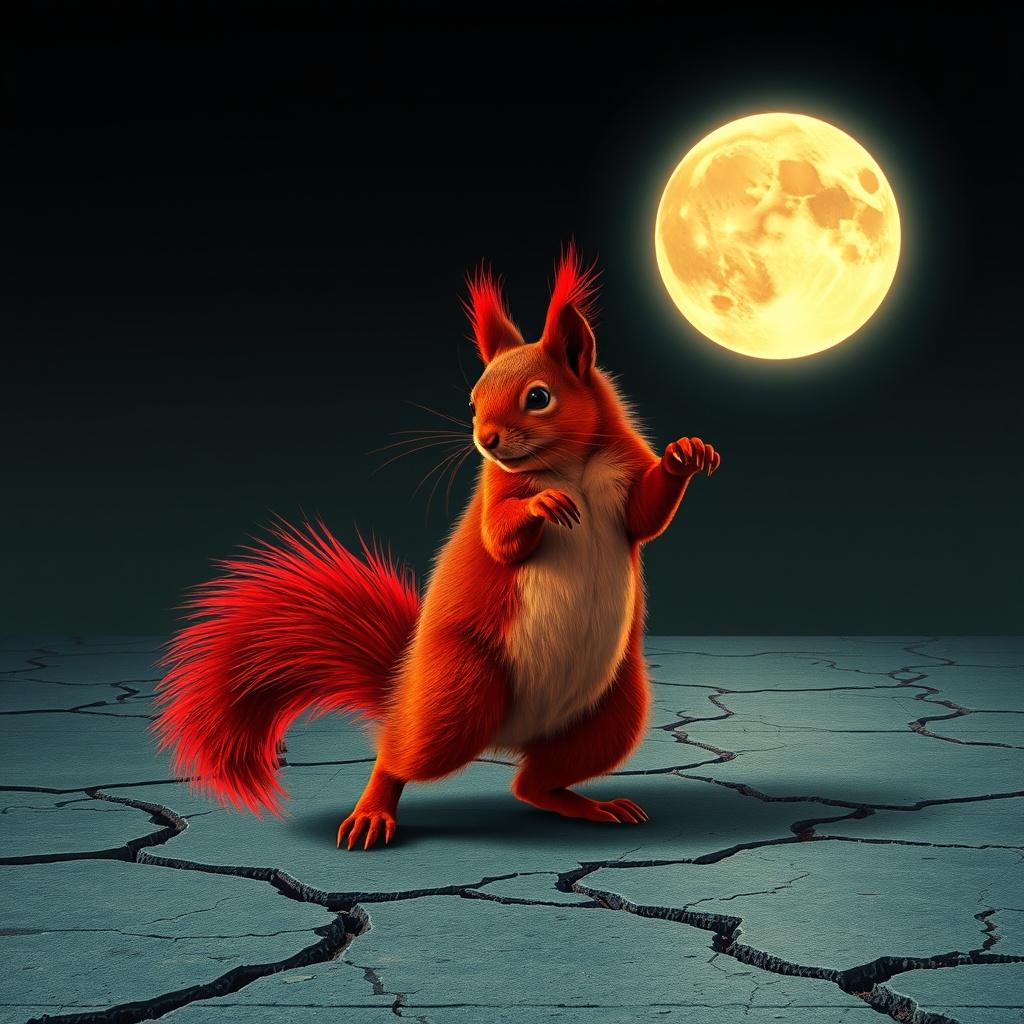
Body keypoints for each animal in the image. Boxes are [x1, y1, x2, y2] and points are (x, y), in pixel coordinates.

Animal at [153, 245, 720, 850]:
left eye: (538, 397)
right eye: (472, 401)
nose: (485, 440)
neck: (569, 466)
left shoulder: (624, 478)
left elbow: (647, 516)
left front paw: (685, 455)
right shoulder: (496, 493)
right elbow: (499, 539)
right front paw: (543, 506)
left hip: (613, 713)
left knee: (533, 784)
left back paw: (590, 805)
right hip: (460, 691)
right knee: (400, 756)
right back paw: (373, 812)